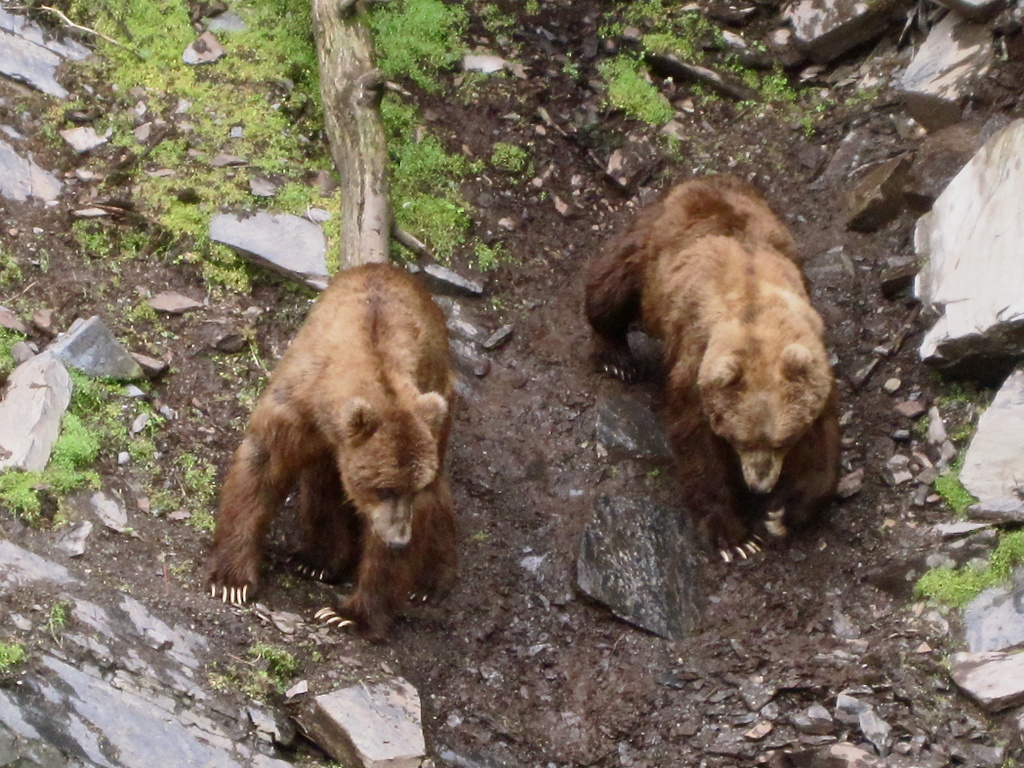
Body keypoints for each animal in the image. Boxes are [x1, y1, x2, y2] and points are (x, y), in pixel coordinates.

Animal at [207, 262, 456, 638]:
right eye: (384, 488)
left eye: (413, 488)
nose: (399, 540)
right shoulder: (295, 409)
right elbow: (260, 470)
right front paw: (231, 580)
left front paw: (348, 614)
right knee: (322, 488)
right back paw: (316, 560)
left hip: (440, 401)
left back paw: (428, 582)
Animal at [585, 173, 839, 561]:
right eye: (740, 439)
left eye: (783, 440)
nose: (760, 485)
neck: (757, 314)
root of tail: (702, 180)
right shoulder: (696, 371)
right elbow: (697, 444)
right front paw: (735, 537)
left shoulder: (814, 363)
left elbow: (823, 444)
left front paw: (783, 514)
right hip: (649, 252)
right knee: (611, 283)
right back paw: (616, 358)